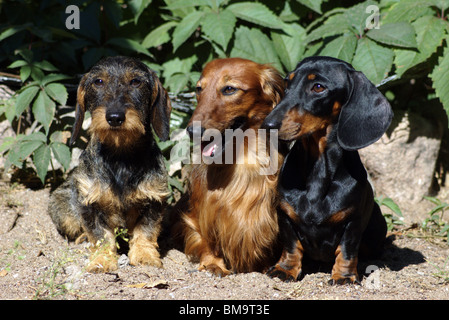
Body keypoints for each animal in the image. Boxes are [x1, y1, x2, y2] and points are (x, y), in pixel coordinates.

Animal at [48, 55, 172, 272]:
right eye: (98, 82)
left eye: (136, 82)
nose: (115, 117)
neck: (120, 156)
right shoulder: (90, 204)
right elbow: (100, 236)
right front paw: (102, 260)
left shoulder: (154, 200)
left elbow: (146, 231)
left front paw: (145, 256)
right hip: (63, 210)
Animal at [260, 56, 390, 284]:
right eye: (287, 83)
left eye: (318, 87)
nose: (268, 125)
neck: (317, 169)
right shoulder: (285, 216)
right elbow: (291, 246)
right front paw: (285, 269)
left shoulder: (353, 222)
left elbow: (347, 250)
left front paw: (344, 276)